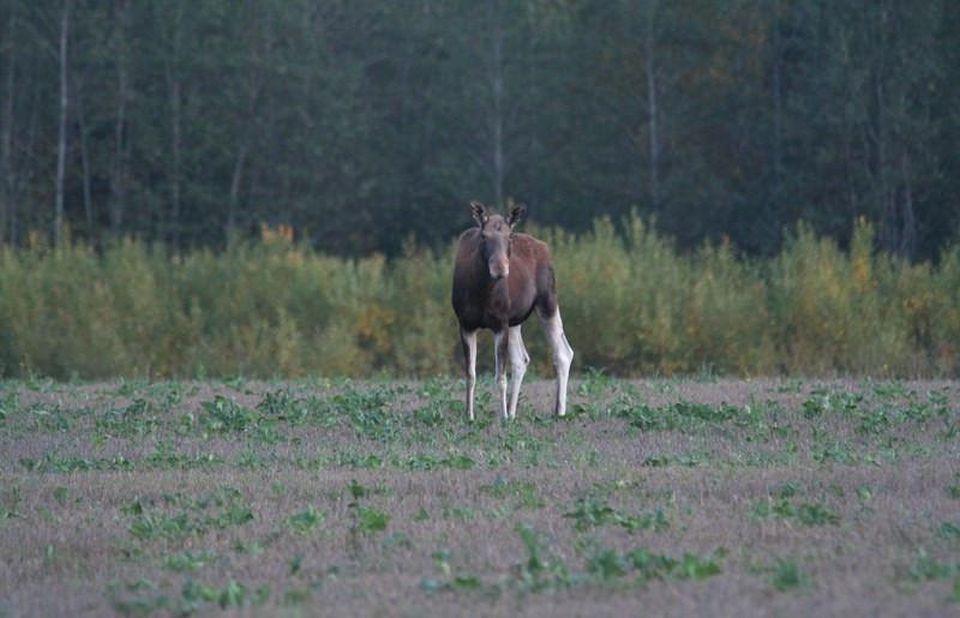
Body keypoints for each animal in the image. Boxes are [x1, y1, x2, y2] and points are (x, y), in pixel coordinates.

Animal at [452, 201, 574, 421]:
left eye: (509, 236)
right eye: (484, 236)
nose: (500, 268)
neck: (481, 292)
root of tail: (544, 246)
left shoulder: (500, 323)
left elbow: (500, 377)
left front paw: (502, 418)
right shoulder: (466, 324)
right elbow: (470, 374)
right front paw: (469, 416)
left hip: (548, 302)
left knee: (563, 352)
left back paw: (559, 411)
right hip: (516, 321)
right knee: (521, 359)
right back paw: (513, 411)